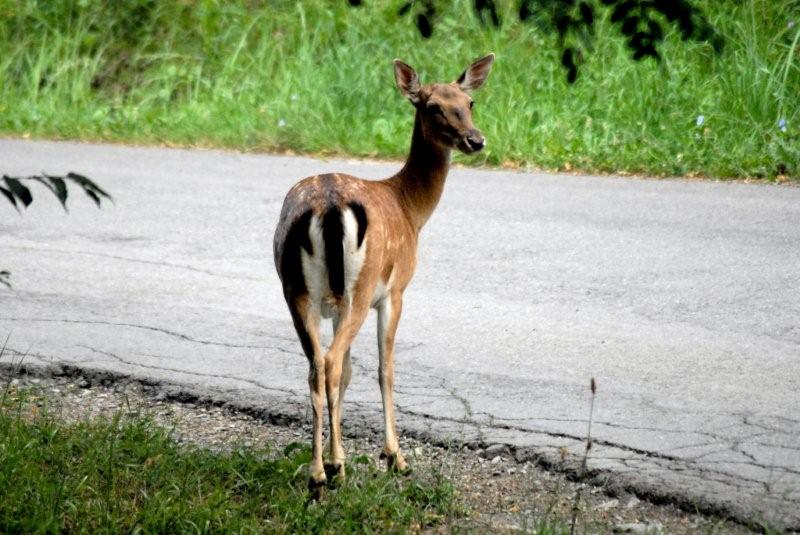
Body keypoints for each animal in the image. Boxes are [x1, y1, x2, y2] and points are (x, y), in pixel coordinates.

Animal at [276, 52, 494, 496]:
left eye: (470, 102)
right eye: (433, 106)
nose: (475, 140)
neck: (411, 210)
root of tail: (328, 206)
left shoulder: (333, 304)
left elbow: (350, 375)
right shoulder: (395, 291)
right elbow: (384, 369)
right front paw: (395, 456)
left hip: (296, 291)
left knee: (318, 367)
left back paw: (317, 472)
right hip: (359, 288)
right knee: (331, 361)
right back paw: (335, 467)